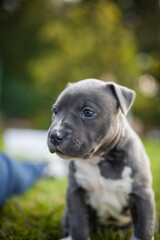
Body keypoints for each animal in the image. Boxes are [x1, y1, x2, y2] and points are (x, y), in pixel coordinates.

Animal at [47, 79, 155, 240]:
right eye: (55, 111)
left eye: (88, 112)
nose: (55, 135)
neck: (99, 158)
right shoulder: (76, 193)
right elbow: (78, 224)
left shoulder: (142, 196)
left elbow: (143, 228)